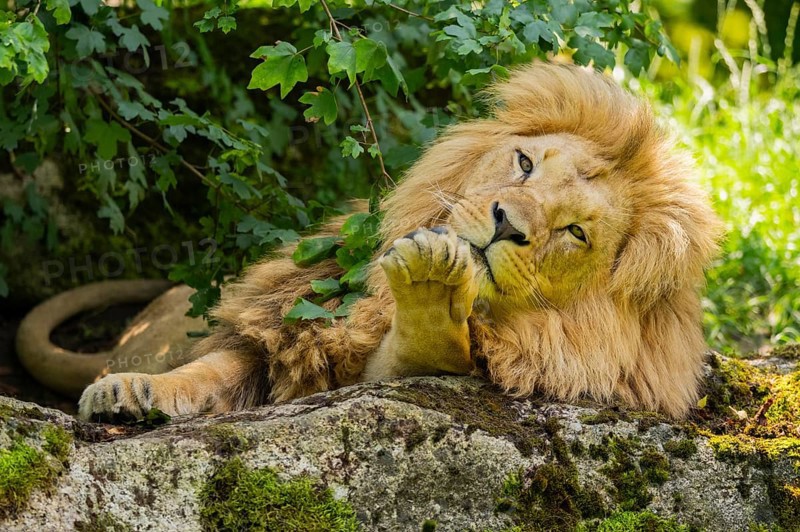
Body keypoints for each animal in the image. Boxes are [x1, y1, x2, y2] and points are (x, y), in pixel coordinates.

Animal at [70, 61, 722, 421]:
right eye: (525, 163)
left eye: (575, 232)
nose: (507, 224)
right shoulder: (269, 339)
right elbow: (201, 374)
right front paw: (127, 391)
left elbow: (402, 360)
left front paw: (431, 297)